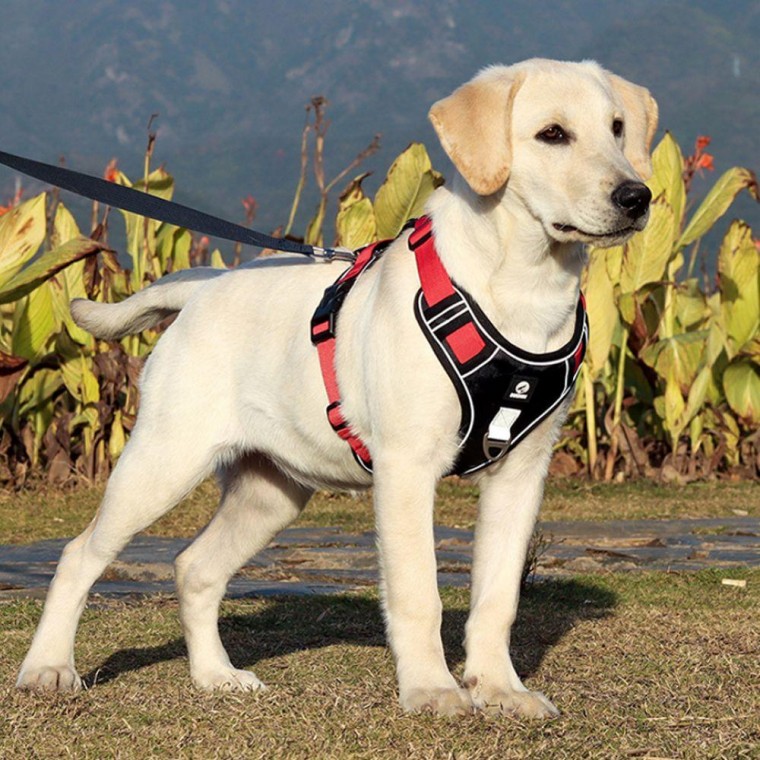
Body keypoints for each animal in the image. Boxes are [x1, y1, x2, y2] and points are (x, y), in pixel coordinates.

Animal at [19, 60, 660, 720]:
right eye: (552, 134)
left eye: (617, 128)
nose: (637, 197)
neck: (522, 285)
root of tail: (204, 286)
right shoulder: (407, 468)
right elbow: (418, 592)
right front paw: (432, 689)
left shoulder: (522, 473)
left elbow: (498, 598)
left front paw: (499, 689)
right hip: (162, 462)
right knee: (79, 555)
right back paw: (48, 668)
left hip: (270, 491)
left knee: (195, 567)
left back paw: (215, 675)